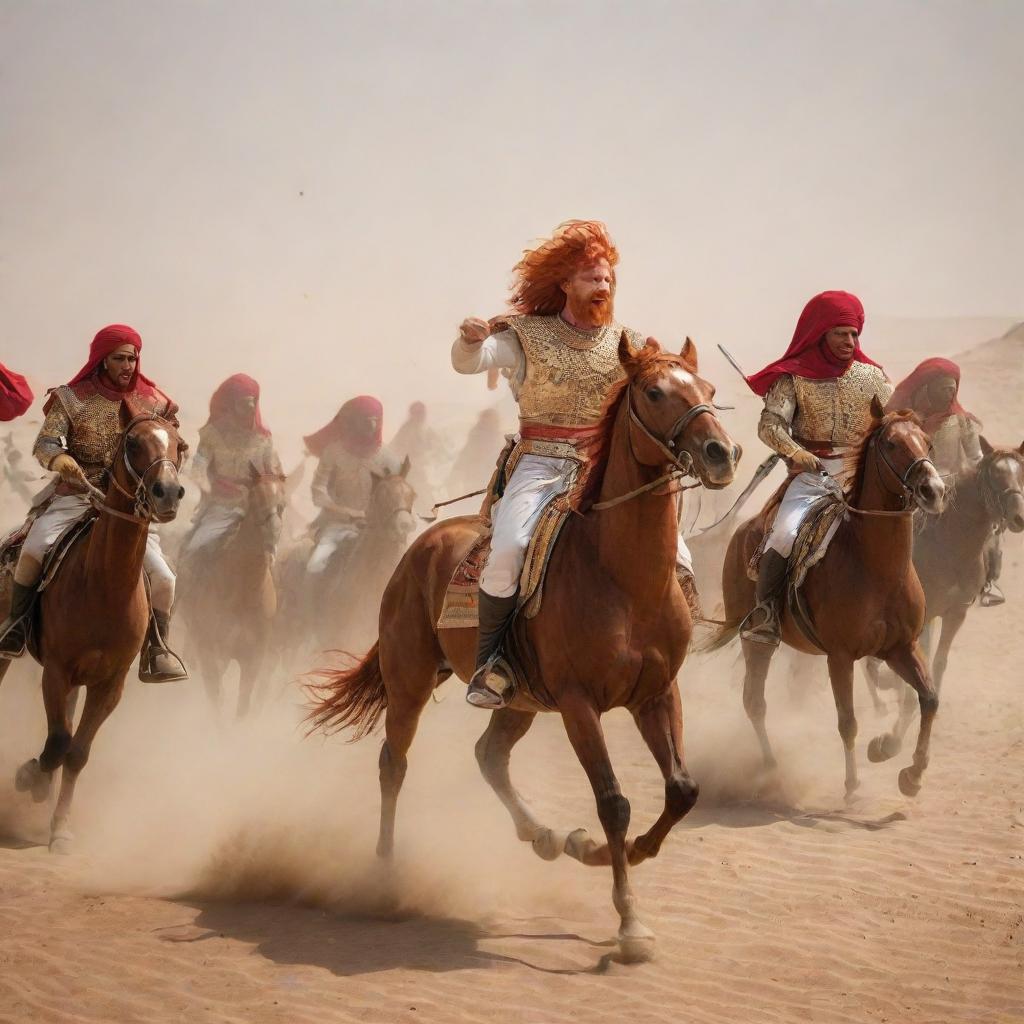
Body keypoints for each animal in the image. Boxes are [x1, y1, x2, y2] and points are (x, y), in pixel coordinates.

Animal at [0, 403, 186, 851]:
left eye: (180, 445)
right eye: (133, 442)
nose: (167, 493)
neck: (103, 584)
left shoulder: (108, 684)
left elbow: (77, 751)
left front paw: (60, 828)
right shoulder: (56, 672)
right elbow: (57, 742)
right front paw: (29, 778)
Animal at [177, 466, 286, 720]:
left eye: (282, 504)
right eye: (255, 499)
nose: (272, 539)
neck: (243, 592)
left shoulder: (252, 661)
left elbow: (242, 707)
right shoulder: (212, 651)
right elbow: (217, 698)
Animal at [307, 337, 741, 958]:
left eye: (708, 389)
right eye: (656, 392)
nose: (720, 454)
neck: (622, 577)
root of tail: (420, 544)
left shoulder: (656, 695)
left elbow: (682, 789)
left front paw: (612, 852)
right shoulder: (580, 705)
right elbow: (613, 801)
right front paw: (629, 919)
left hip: (520, 703)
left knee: (489, 755)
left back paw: (548, 837)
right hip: (409, 682)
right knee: (394, 763)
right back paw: (385, 876)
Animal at [716, 399, 946, 798]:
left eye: (927, 443)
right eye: (892, 445)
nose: (933, 490)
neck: (876, 566)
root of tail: (742, 531)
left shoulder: (901, 647)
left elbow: (928, 699)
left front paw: (908, 769)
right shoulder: (840, 658)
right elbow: (848, 721)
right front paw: (852, 785)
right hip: (755, 640)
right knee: (754, 702)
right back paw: (770, 768)